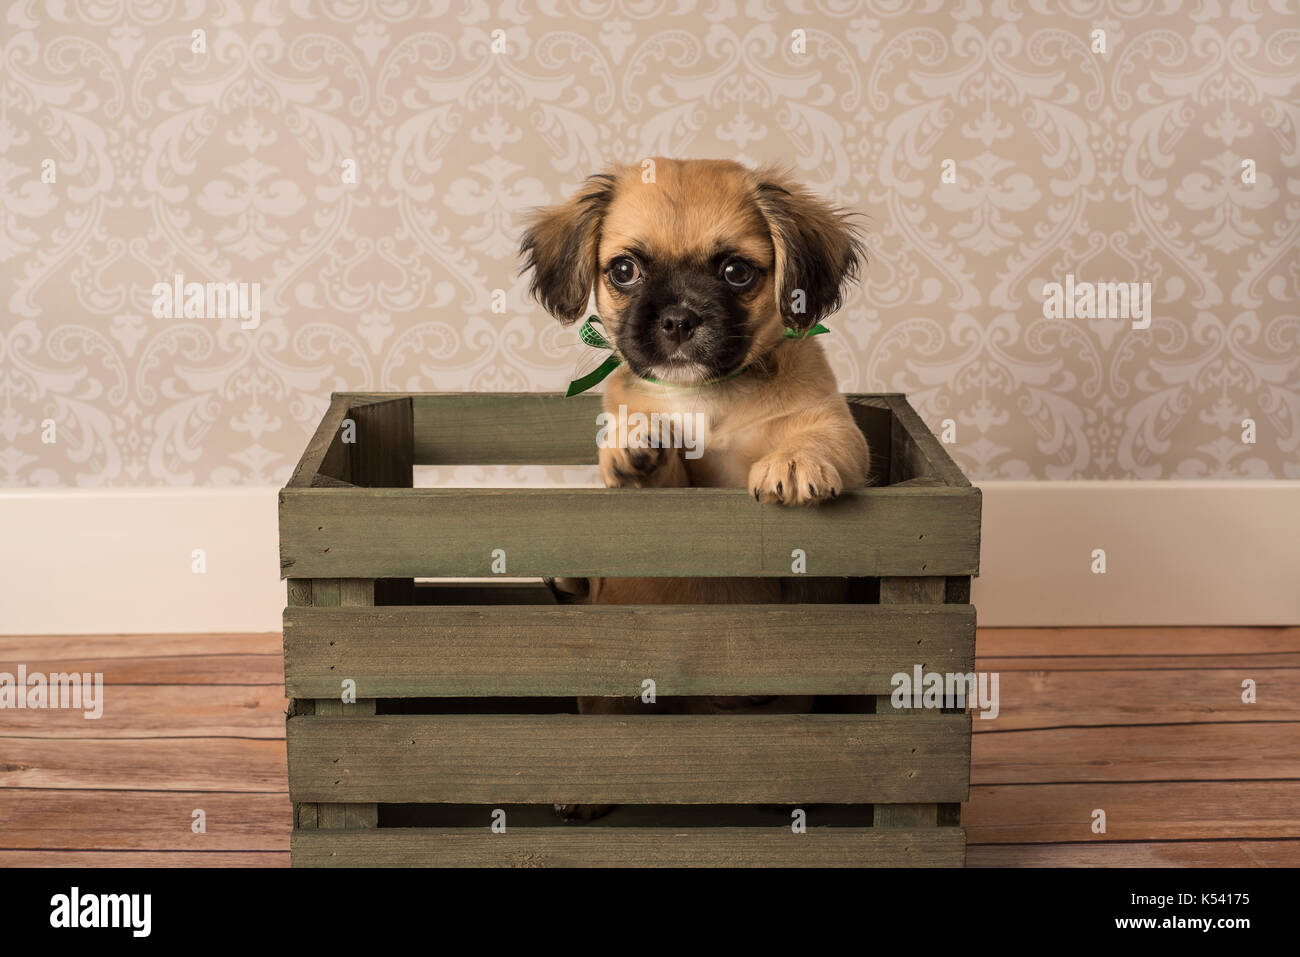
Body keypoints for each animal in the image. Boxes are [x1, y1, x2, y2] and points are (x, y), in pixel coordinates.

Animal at [520, 160, 873, 816]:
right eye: (624, 271)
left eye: (736, 272)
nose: (680, 319)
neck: (706, 398)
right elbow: (656, 462)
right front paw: (637, 441)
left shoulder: (834, 425)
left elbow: (818, 439)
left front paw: (794, 464)